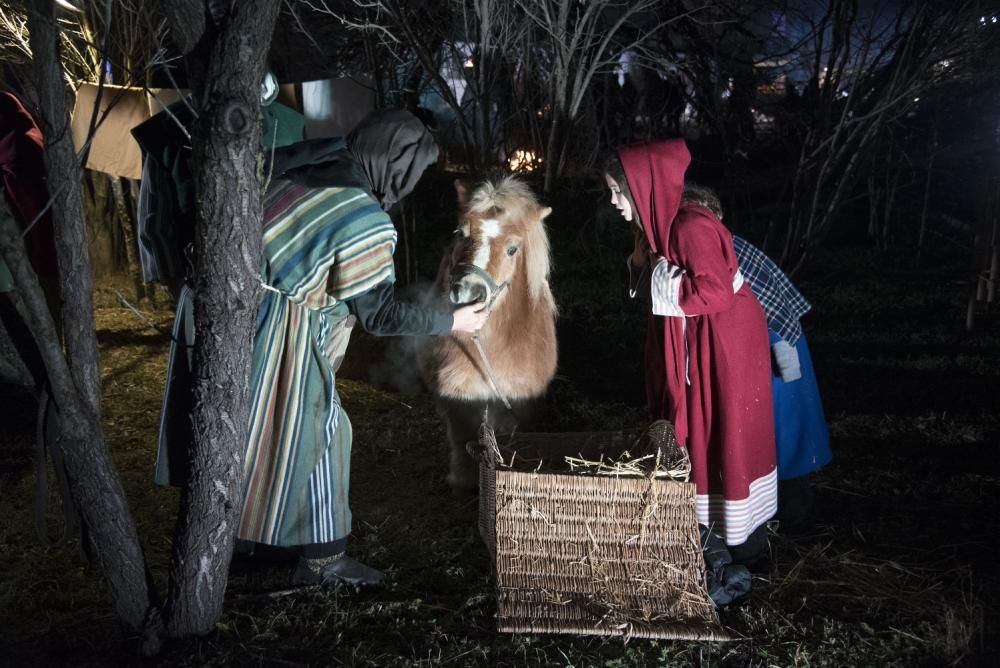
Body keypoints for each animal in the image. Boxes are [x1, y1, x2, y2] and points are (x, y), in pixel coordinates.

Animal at [414, 176, 556, 490]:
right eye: (460, 232)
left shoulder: (517, 406)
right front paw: (463, 481)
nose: (468, 293)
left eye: (513, 249)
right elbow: (462, 439)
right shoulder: (454, 401)